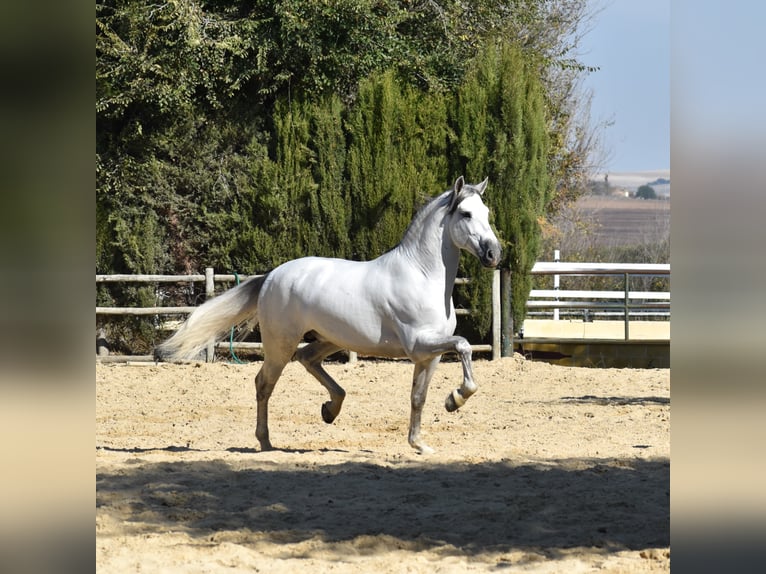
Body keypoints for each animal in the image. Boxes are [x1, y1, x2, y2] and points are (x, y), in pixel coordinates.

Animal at [159, 176, 500, 454]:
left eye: (486, 214)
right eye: (466, 214)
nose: (493, 254)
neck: (422, 275)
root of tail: (271, 276)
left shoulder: (429, 355)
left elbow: (418, 397)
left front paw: (420, 443)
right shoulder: (419, 344)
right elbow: (464, 345)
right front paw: (456, 399)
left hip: (330, 339)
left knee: (307, 358)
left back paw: (329, 409)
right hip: (280, 345)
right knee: (264, 383)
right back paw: (266, 442)